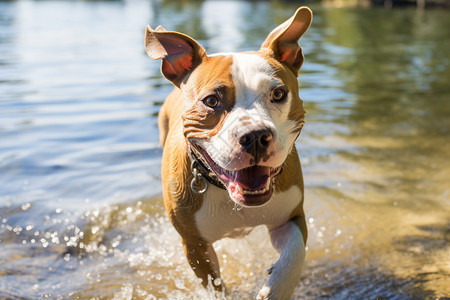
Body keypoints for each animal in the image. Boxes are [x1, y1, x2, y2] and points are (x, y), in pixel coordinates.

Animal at [145, 7, 312, 300]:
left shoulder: (292, 217)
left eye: (278, 93)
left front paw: (276, 289)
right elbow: (215, 287)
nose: (255, 136)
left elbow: (293, 255)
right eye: (211, 101)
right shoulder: (195, 246)